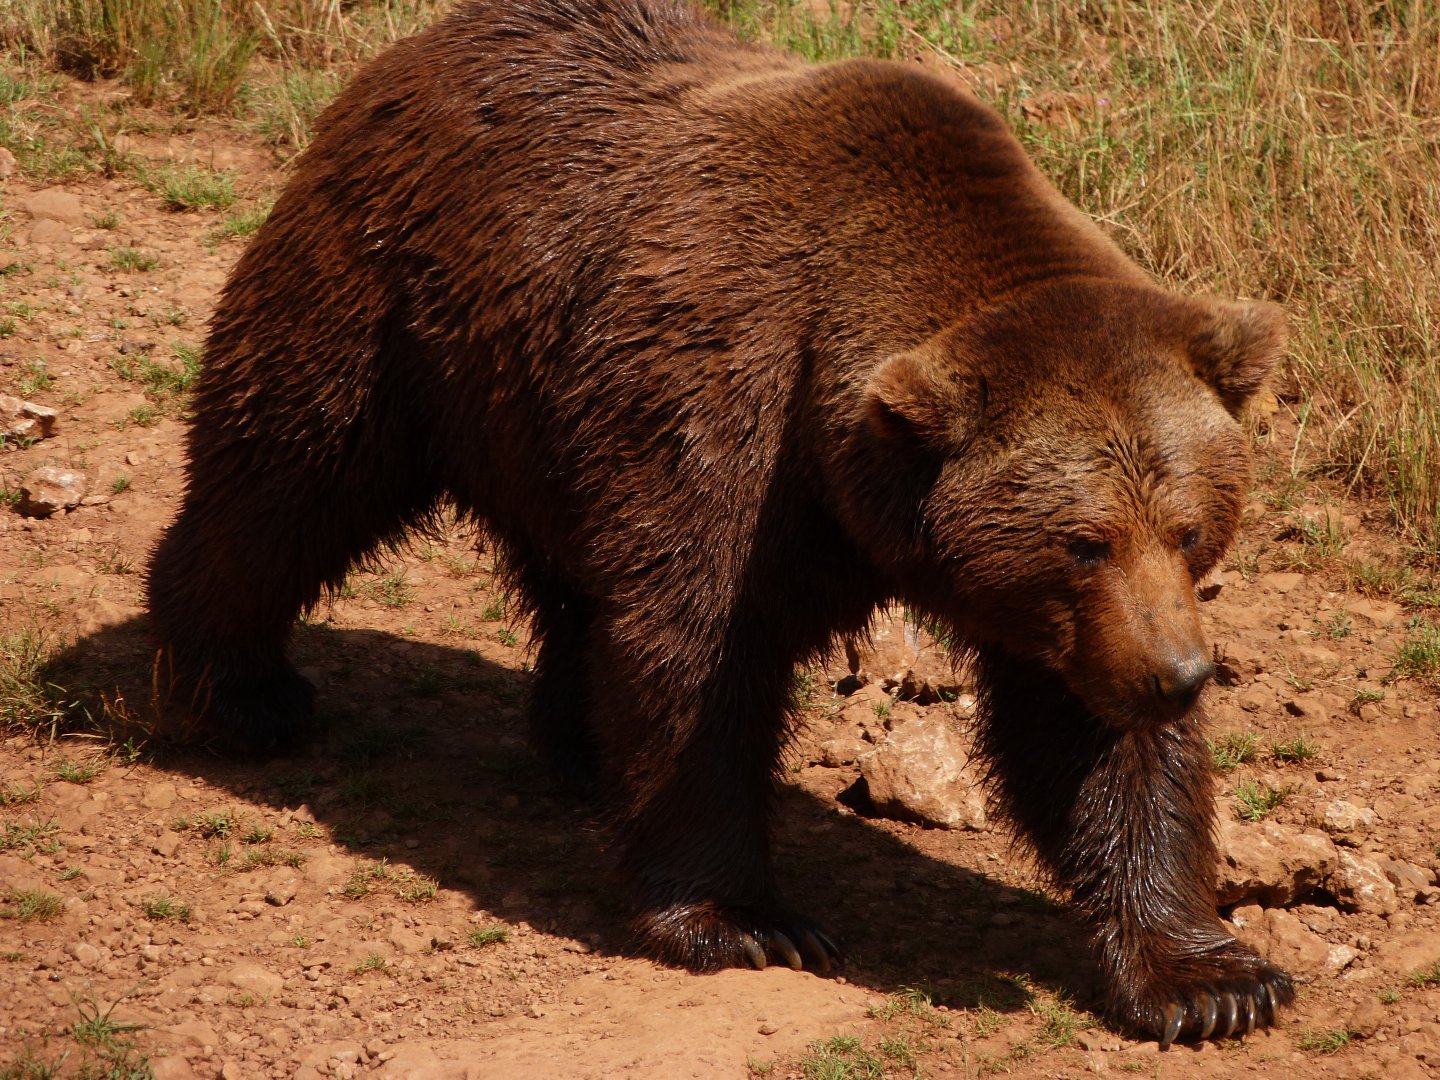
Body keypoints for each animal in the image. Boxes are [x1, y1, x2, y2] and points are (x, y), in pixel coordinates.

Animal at [145, 0, 1292, 1047]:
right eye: (1082, 540)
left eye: (1191, 529)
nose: (1179, 675)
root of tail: (418, 45)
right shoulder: (730, 408)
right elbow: (694, 653)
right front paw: (750, 921)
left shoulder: (1057, 616)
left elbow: (1092, 744)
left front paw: (1210, 979)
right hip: (394, 298)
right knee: (289, 473)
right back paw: (235, 688)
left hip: (543, 413)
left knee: (567, 581)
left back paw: (576, 744)